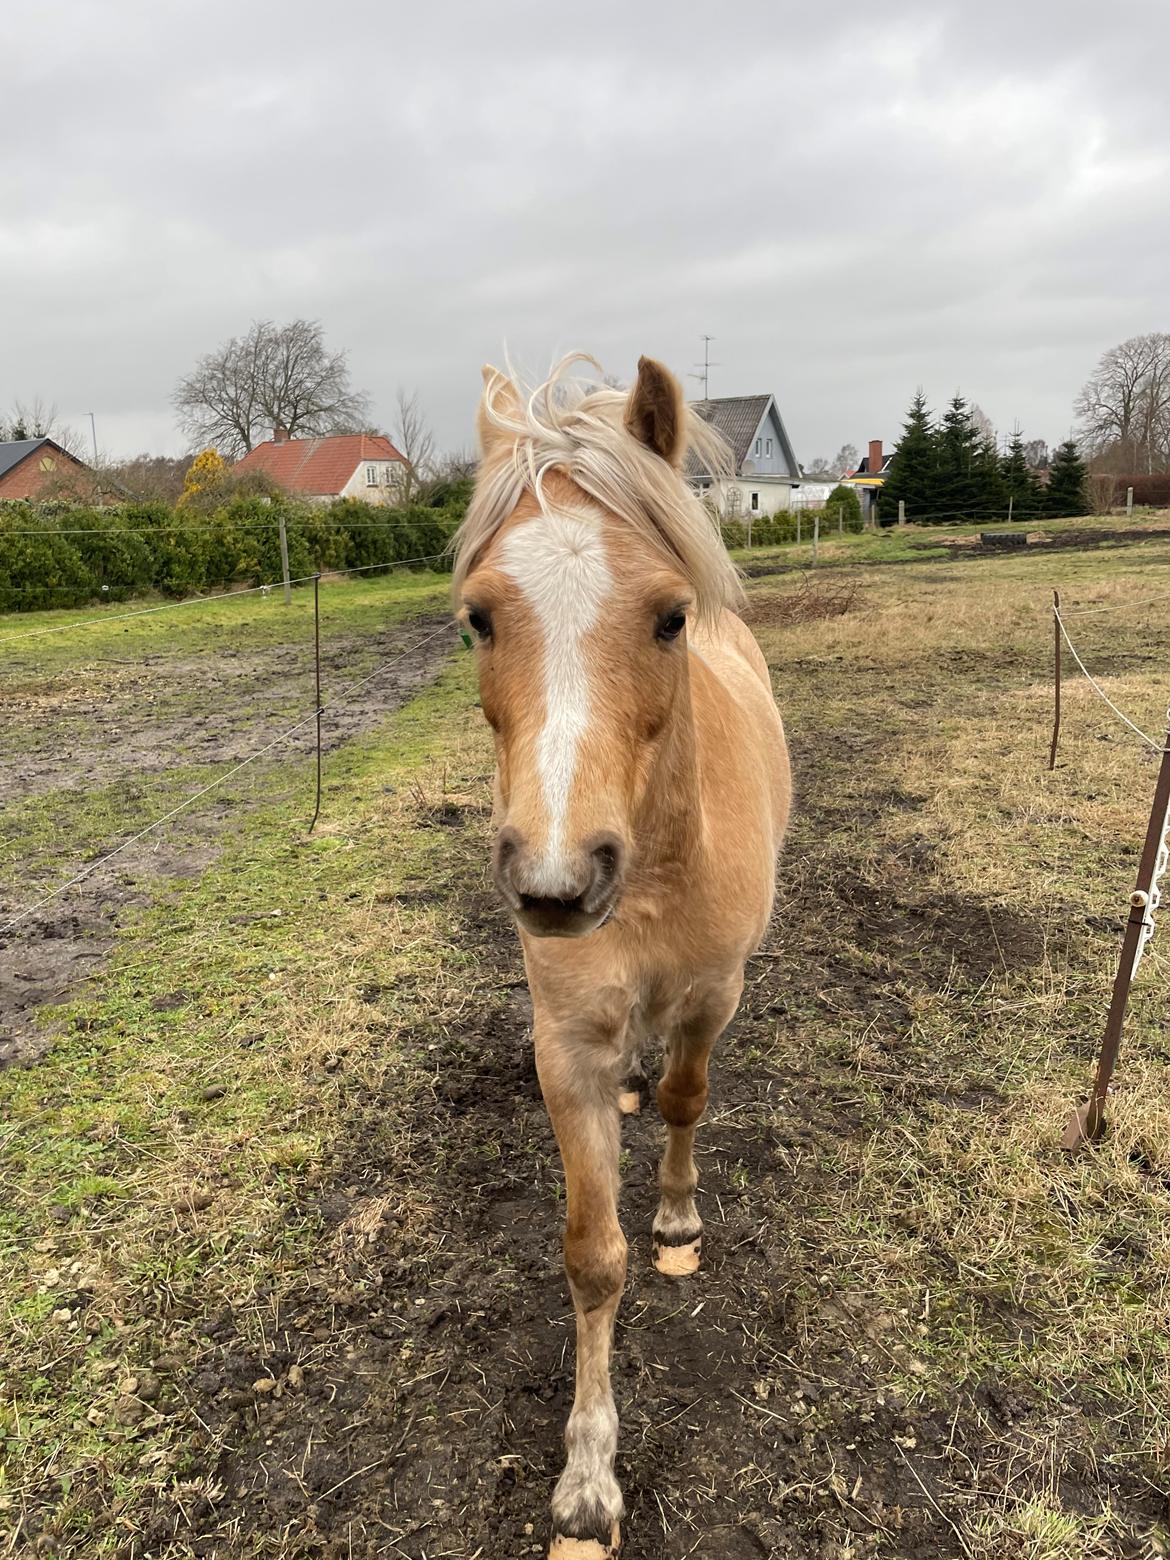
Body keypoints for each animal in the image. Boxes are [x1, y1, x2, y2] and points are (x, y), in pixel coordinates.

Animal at [452, 353, 791, 1557]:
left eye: (668, 618)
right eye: (477, 618)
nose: (557, 885)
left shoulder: (712, 997)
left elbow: (691, 1102)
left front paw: (680, 1220)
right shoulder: (567, 1046)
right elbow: (592, 1258)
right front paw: (588, 1477)